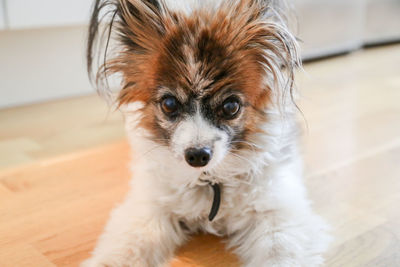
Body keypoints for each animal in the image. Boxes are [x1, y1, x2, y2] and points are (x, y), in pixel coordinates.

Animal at [83, 0, 330, 266]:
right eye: (169, 104)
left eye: (231, 107)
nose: (197, 155)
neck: (209, 181)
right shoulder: (149, 208)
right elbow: (126, 247)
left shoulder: (278, 214)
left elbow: (280, 253)